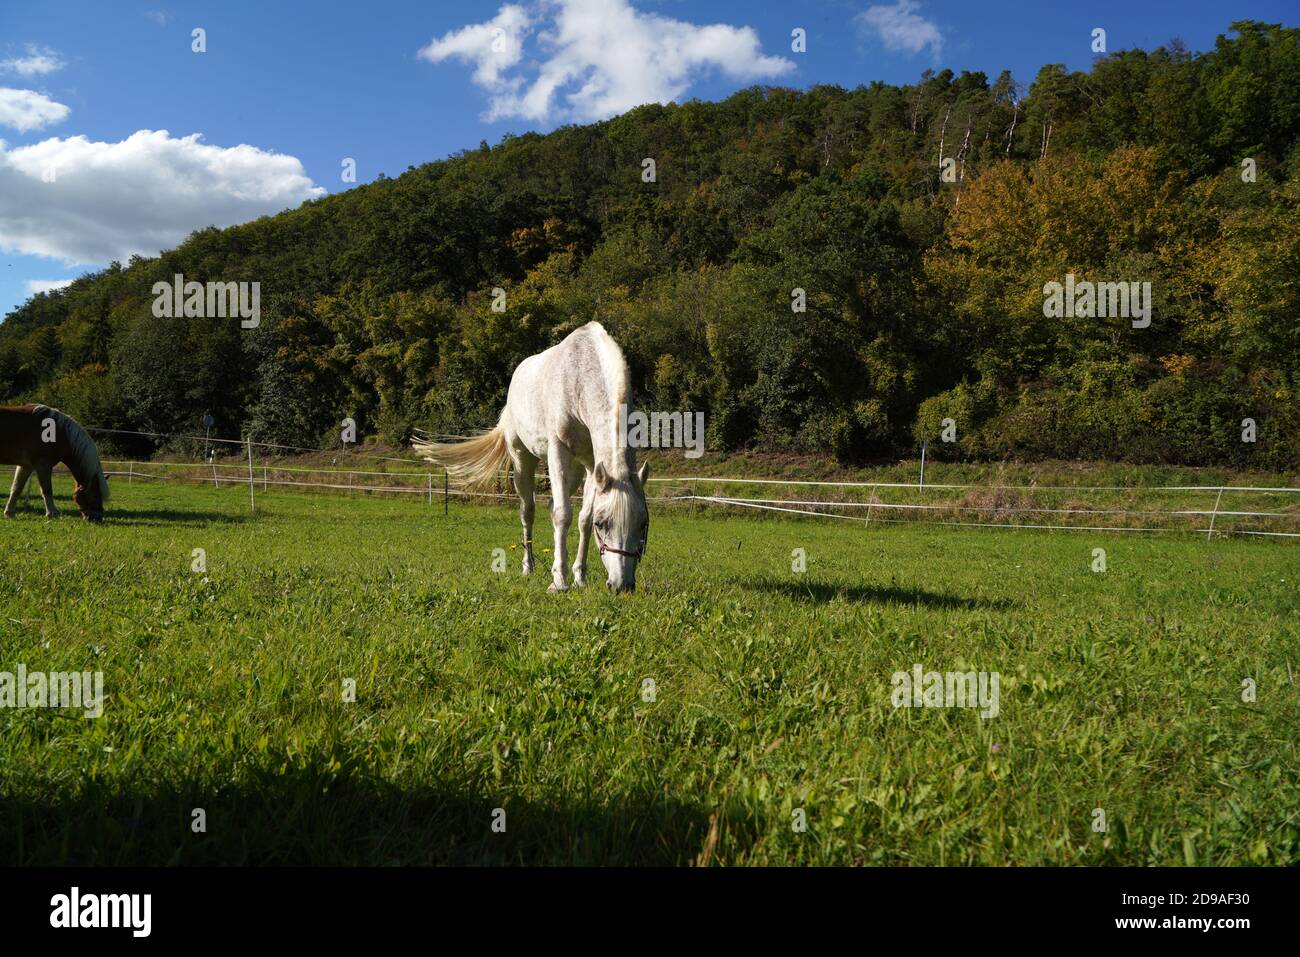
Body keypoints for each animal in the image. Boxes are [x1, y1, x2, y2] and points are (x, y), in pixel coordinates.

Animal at [414, 322, 649, 593]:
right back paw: (528, 567)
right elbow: (563, 515)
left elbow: (583, 518)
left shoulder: (593, 464)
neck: (579, 377)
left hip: (574, 471)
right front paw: (559, 582)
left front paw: (579, 576)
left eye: (642, 524)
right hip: (522, 461)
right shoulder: (558, 451)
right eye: (603, 524)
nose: (622, 585)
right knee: (528, 512)